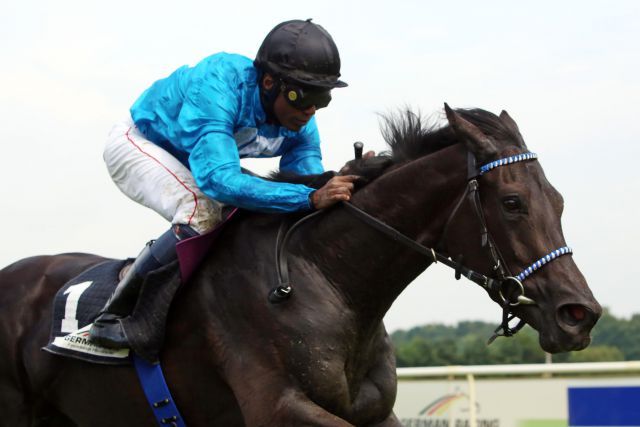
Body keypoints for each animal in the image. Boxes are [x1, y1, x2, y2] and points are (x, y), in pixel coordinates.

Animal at [0, 105, 600, 426]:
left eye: (559, 200)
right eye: (512, 203)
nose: (580, 314)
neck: (328, 279)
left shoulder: (375, 412)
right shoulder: (276, 406)